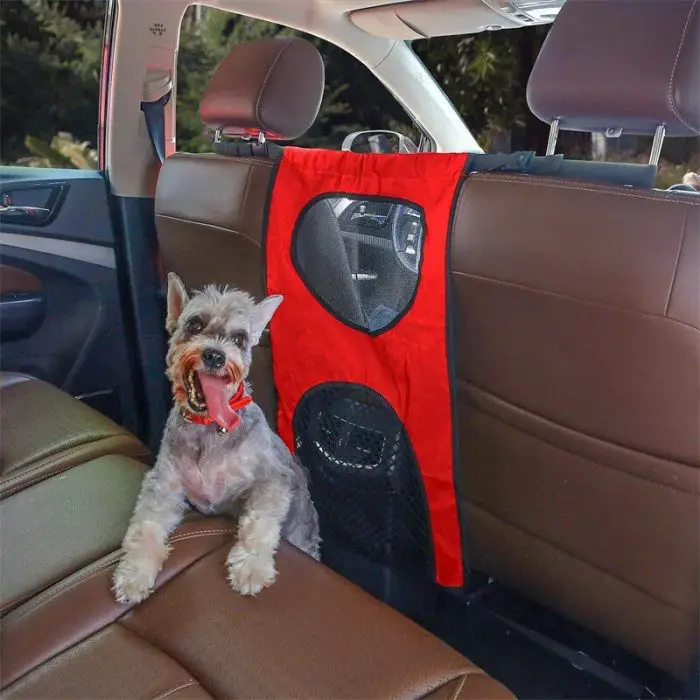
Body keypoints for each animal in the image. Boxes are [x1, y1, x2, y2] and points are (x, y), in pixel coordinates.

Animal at [113, 274, 320, 600]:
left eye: (239, 339)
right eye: (195, 324)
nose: (215, 355)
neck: (208, 428)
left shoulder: (272, 479)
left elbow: (259, 522)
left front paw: (250, 568)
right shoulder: (164, 485)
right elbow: (144, 525)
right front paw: (134, 573)